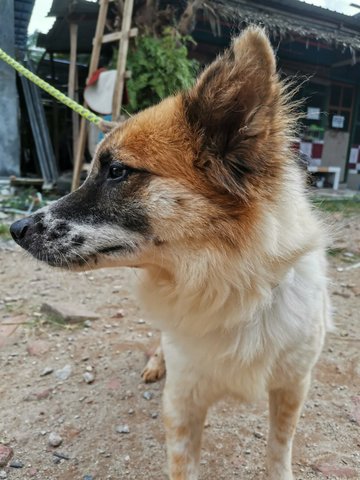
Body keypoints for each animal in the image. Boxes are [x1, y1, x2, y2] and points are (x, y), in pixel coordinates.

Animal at [9, 27, 330, 480]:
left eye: (117, 171)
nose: (15, 229)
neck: (228, 288)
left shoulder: (292, 386)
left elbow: (278, 449)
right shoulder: (182, 402)